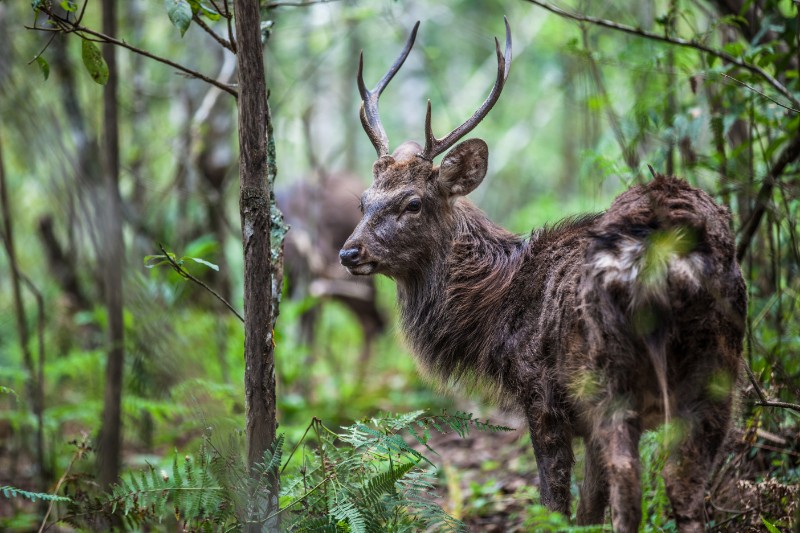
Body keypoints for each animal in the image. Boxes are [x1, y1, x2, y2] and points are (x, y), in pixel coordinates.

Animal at [340, 18, 748, 528]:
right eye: (363, 201)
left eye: (412, 203)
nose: (349, 252)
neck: (496, 307)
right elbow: (588, 506)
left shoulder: (542, 397)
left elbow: (556, 501)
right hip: (719, 371)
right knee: (684, 486)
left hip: (608, 378)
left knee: (631, 484)